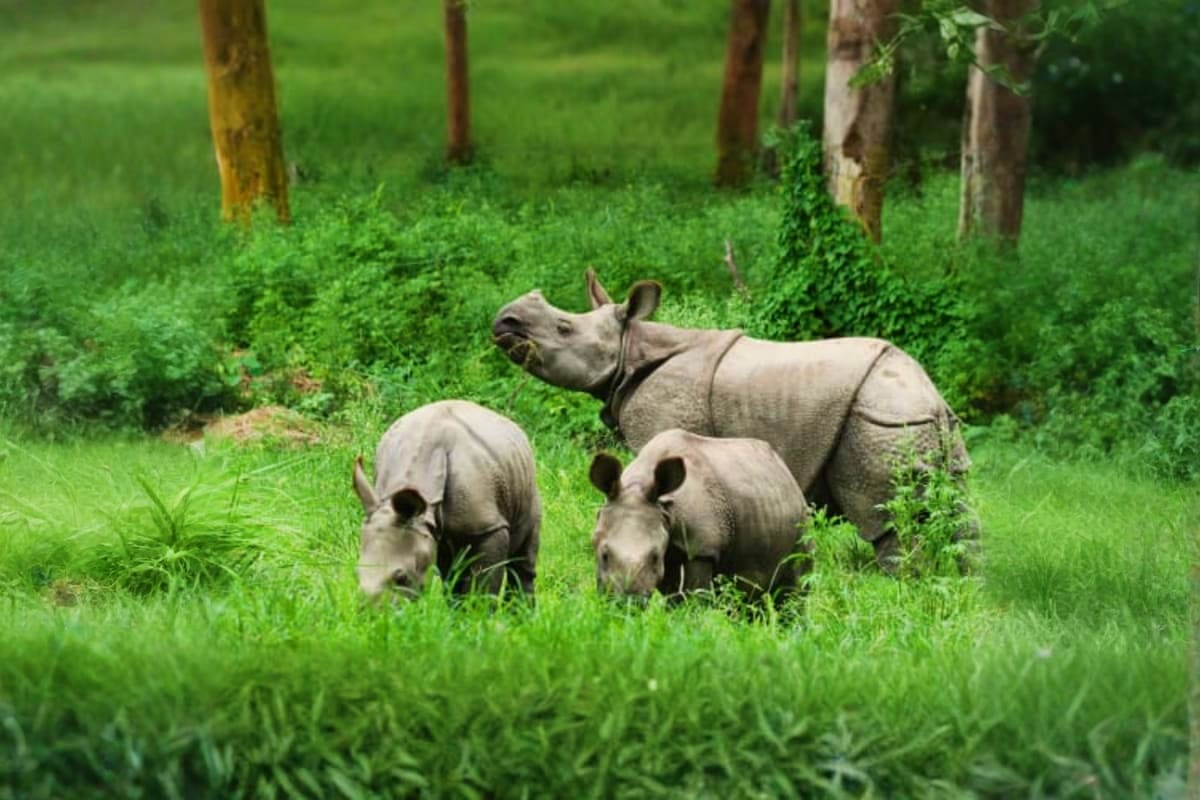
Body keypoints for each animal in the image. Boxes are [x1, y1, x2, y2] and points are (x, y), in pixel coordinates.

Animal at [352, 400, 541, 599]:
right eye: (356, 573)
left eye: (401, 578)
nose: (374, 610)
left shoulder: (489, 527)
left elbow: (484, 584)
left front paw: (479, 606)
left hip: (525, 483)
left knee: (521, 559)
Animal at [493, 270, 973, 566]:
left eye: (563, 328)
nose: (504, 321)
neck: (633, 346)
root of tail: (927, 397)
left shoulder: (662, 423)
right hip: (922, 421)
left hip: (880, 421)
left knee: (887, 521)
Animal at [588, 428, 811, 598]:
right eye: (604, 555)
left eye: (655, 557)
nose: (628, 602)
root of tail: (785, 469)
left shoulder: (702, 547)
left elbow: (695, 598)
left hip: (802, 520)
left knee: (795, 583)